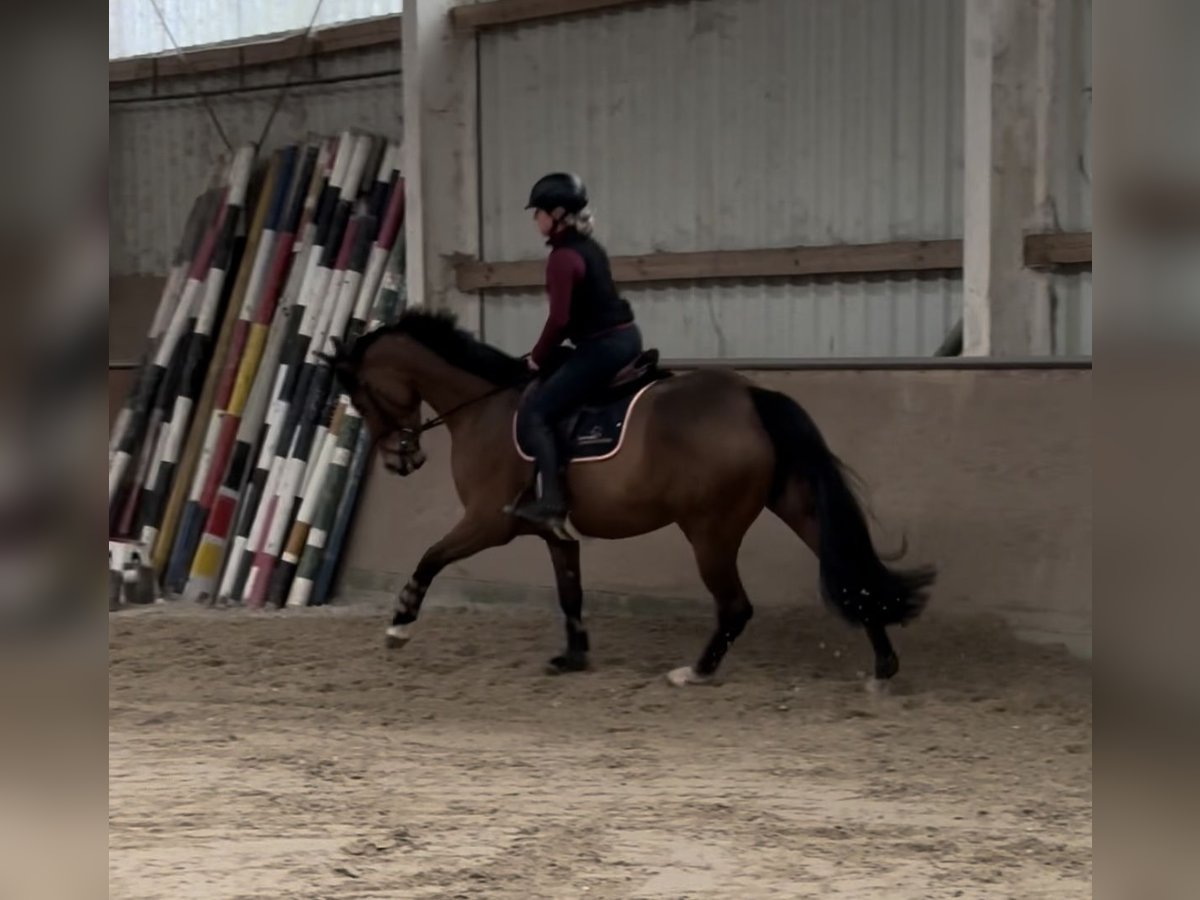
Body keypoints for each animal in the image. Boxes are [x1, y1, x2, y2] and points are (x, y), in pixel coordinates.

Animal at [328, 307, 936, 686]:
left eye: (360, 394)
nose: (401, 461)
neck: (486, 406)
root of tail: (748, 396)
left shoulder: (487, 523)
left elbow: (429, 557)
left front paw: (399, 624)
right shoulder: (554, 533)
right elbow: (570, 594)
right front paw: (574, 656)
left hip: (709, 531)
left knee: (736, 606)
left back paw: (696, 672)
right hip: (796, 507)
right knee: (852, 577)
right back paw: (883, 667)